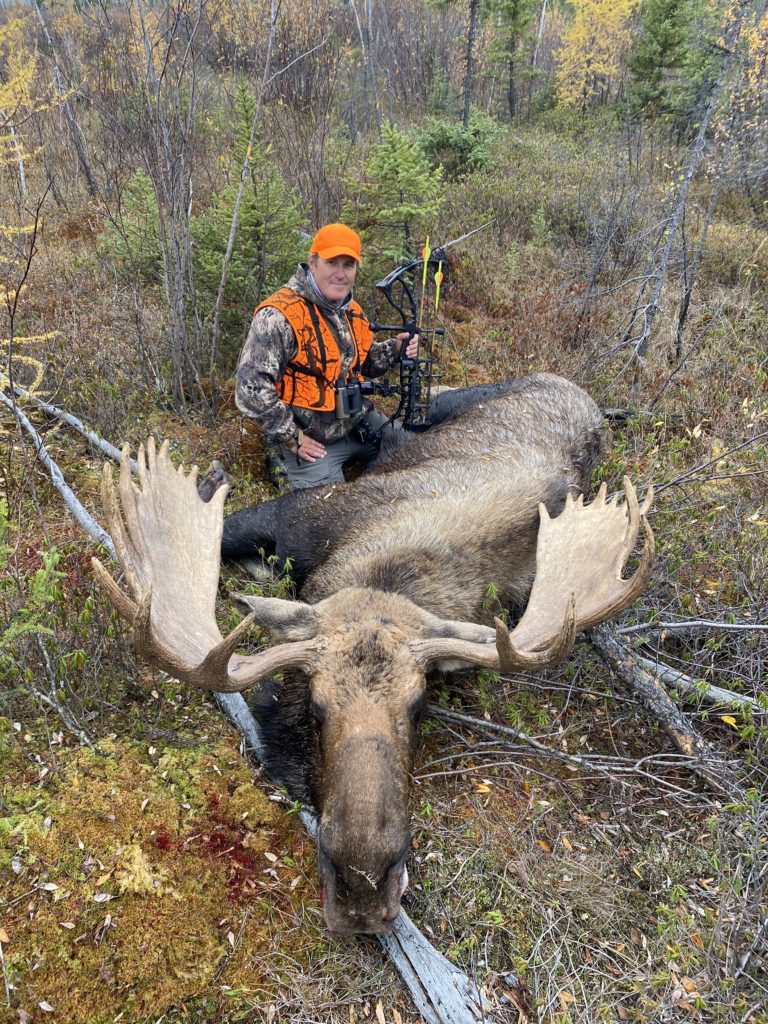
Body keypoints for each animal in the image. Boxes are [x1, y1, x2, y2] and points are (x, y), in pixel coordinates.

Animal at [91, 374, 655, 937]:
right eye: (317, 707)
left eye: (419, 705)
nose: (362, 888)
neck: (386, 566)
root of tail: (581, 396)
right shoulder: (296, 513)